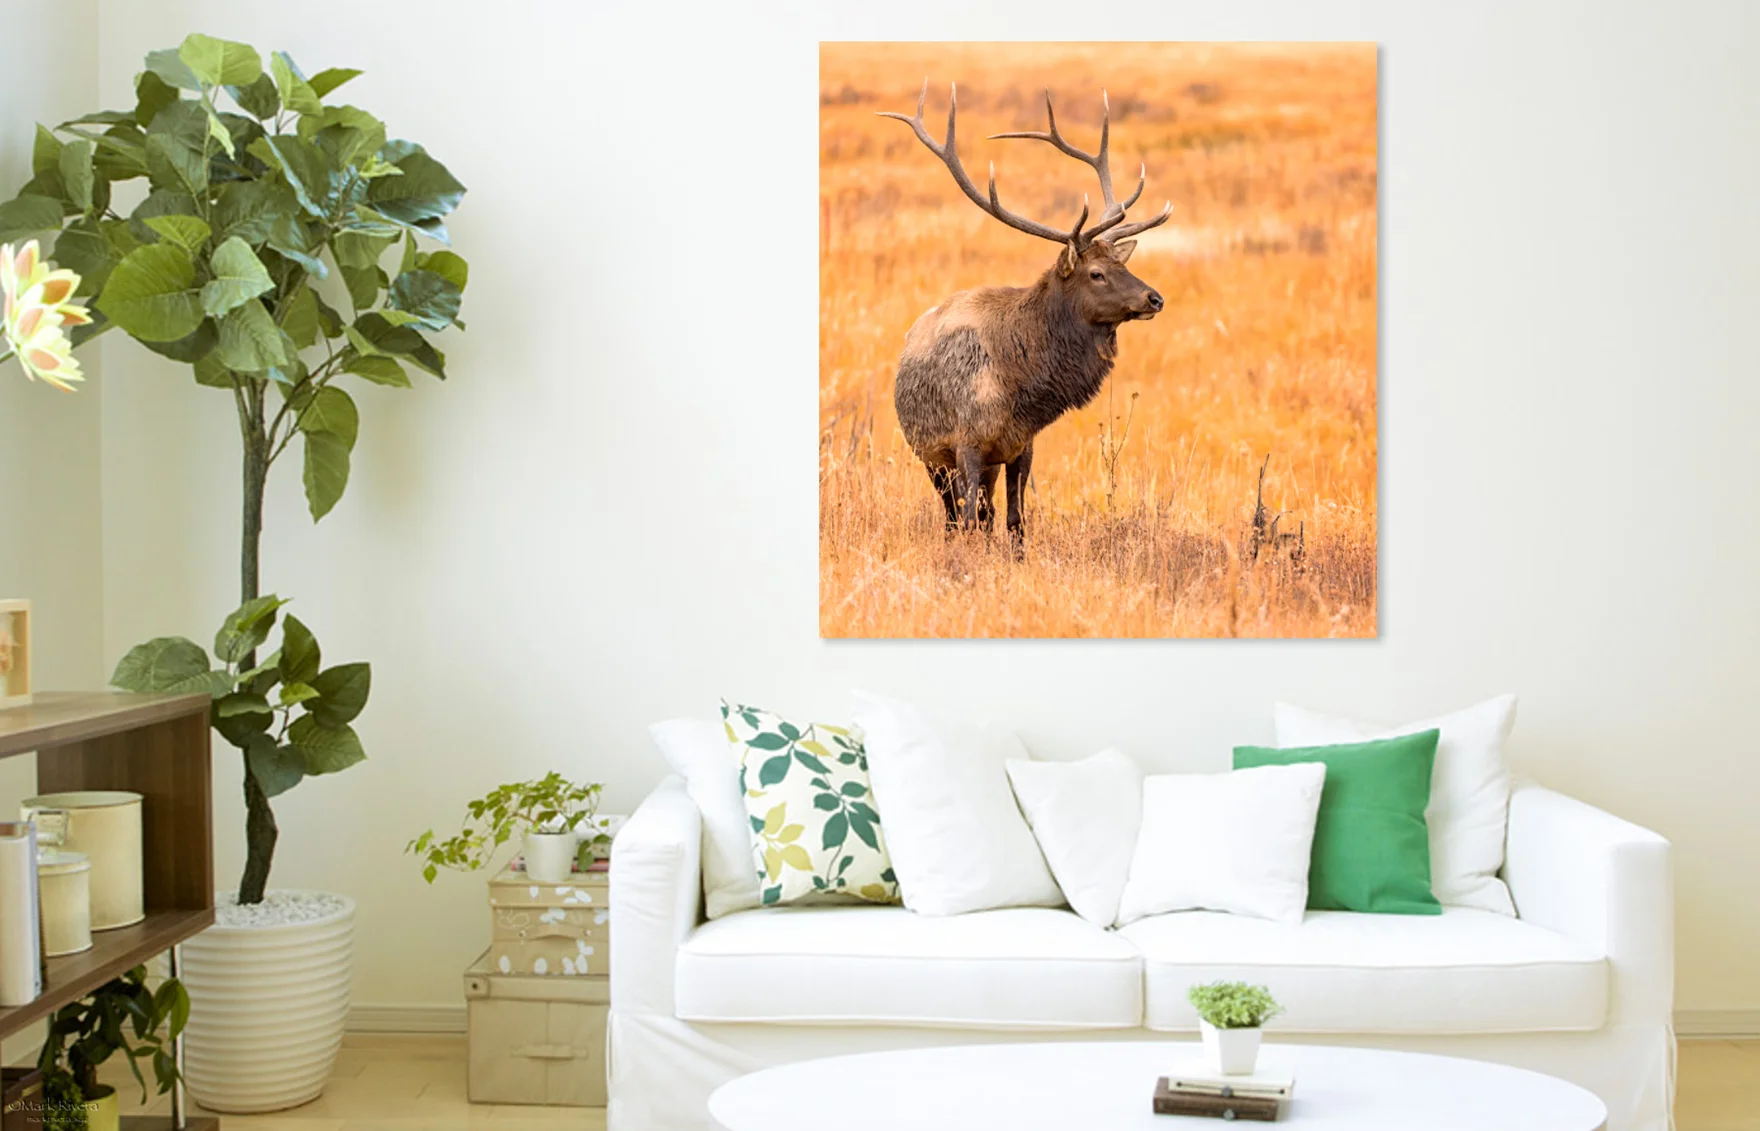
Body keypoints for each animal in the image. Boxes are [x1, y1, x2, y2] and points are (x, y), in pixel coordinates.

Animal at [879, 82, 1172, 547]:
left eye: (1121, 264)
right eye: (1096, 273)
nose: (1154, 298)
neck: (1021, 390)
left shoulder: (1021, 445)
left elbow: (1016, 522)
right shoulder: (967, 442)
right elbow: (968, 518)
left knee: (985, 514)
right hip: (929, 455)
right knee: (953, 515)